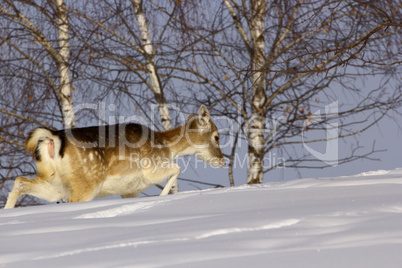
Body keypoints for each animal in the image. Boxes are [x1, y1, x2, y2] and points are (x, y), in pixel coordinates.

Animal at [4, 104, 225, 209]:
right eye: (217, 136)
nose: (223, 160)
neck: (167, 147)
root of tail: (52, 138)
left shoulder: (130, 190)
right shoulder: (151, 168)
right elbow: (177, 169)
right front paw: (163, 196)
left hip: (56, 183)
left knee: (20, 181)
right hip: (87, 181)